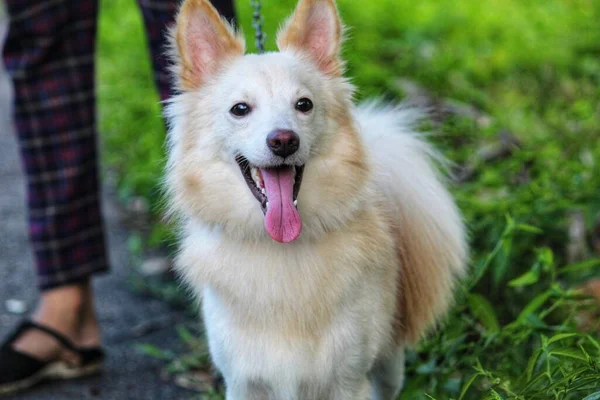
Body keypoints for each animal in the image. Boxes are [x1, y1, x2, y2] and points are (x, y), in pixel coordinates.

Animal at [164, 0, 468, 398]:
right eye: (240, 109)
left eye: (303, 104)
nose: (283, 140)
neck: (280, 250)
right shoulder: (243, 382)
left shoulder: (348, 380)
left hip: (388, 368)